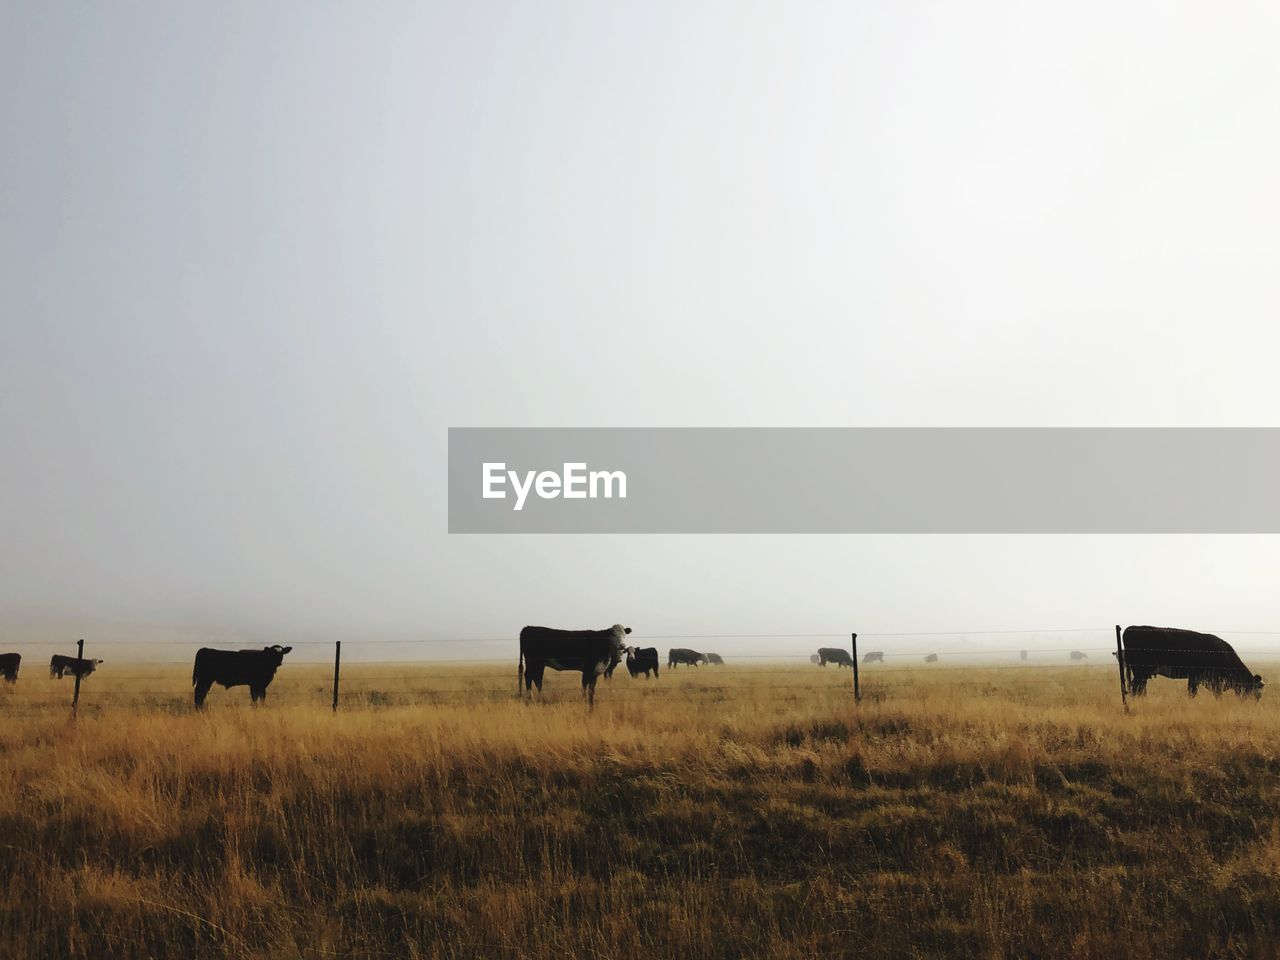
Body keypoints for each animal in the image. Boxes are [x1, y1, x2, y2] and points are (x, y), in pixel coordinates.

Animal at [1121, 624, 1259, 701]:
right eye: (1250, 688)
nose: (1249, 703)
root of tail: (1130, 628)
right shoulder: (1198, 676)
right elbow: (1196, 693)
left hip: (1142, 673)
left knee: (1139, 688)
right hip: (1140, 671)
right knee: (1136, 688)